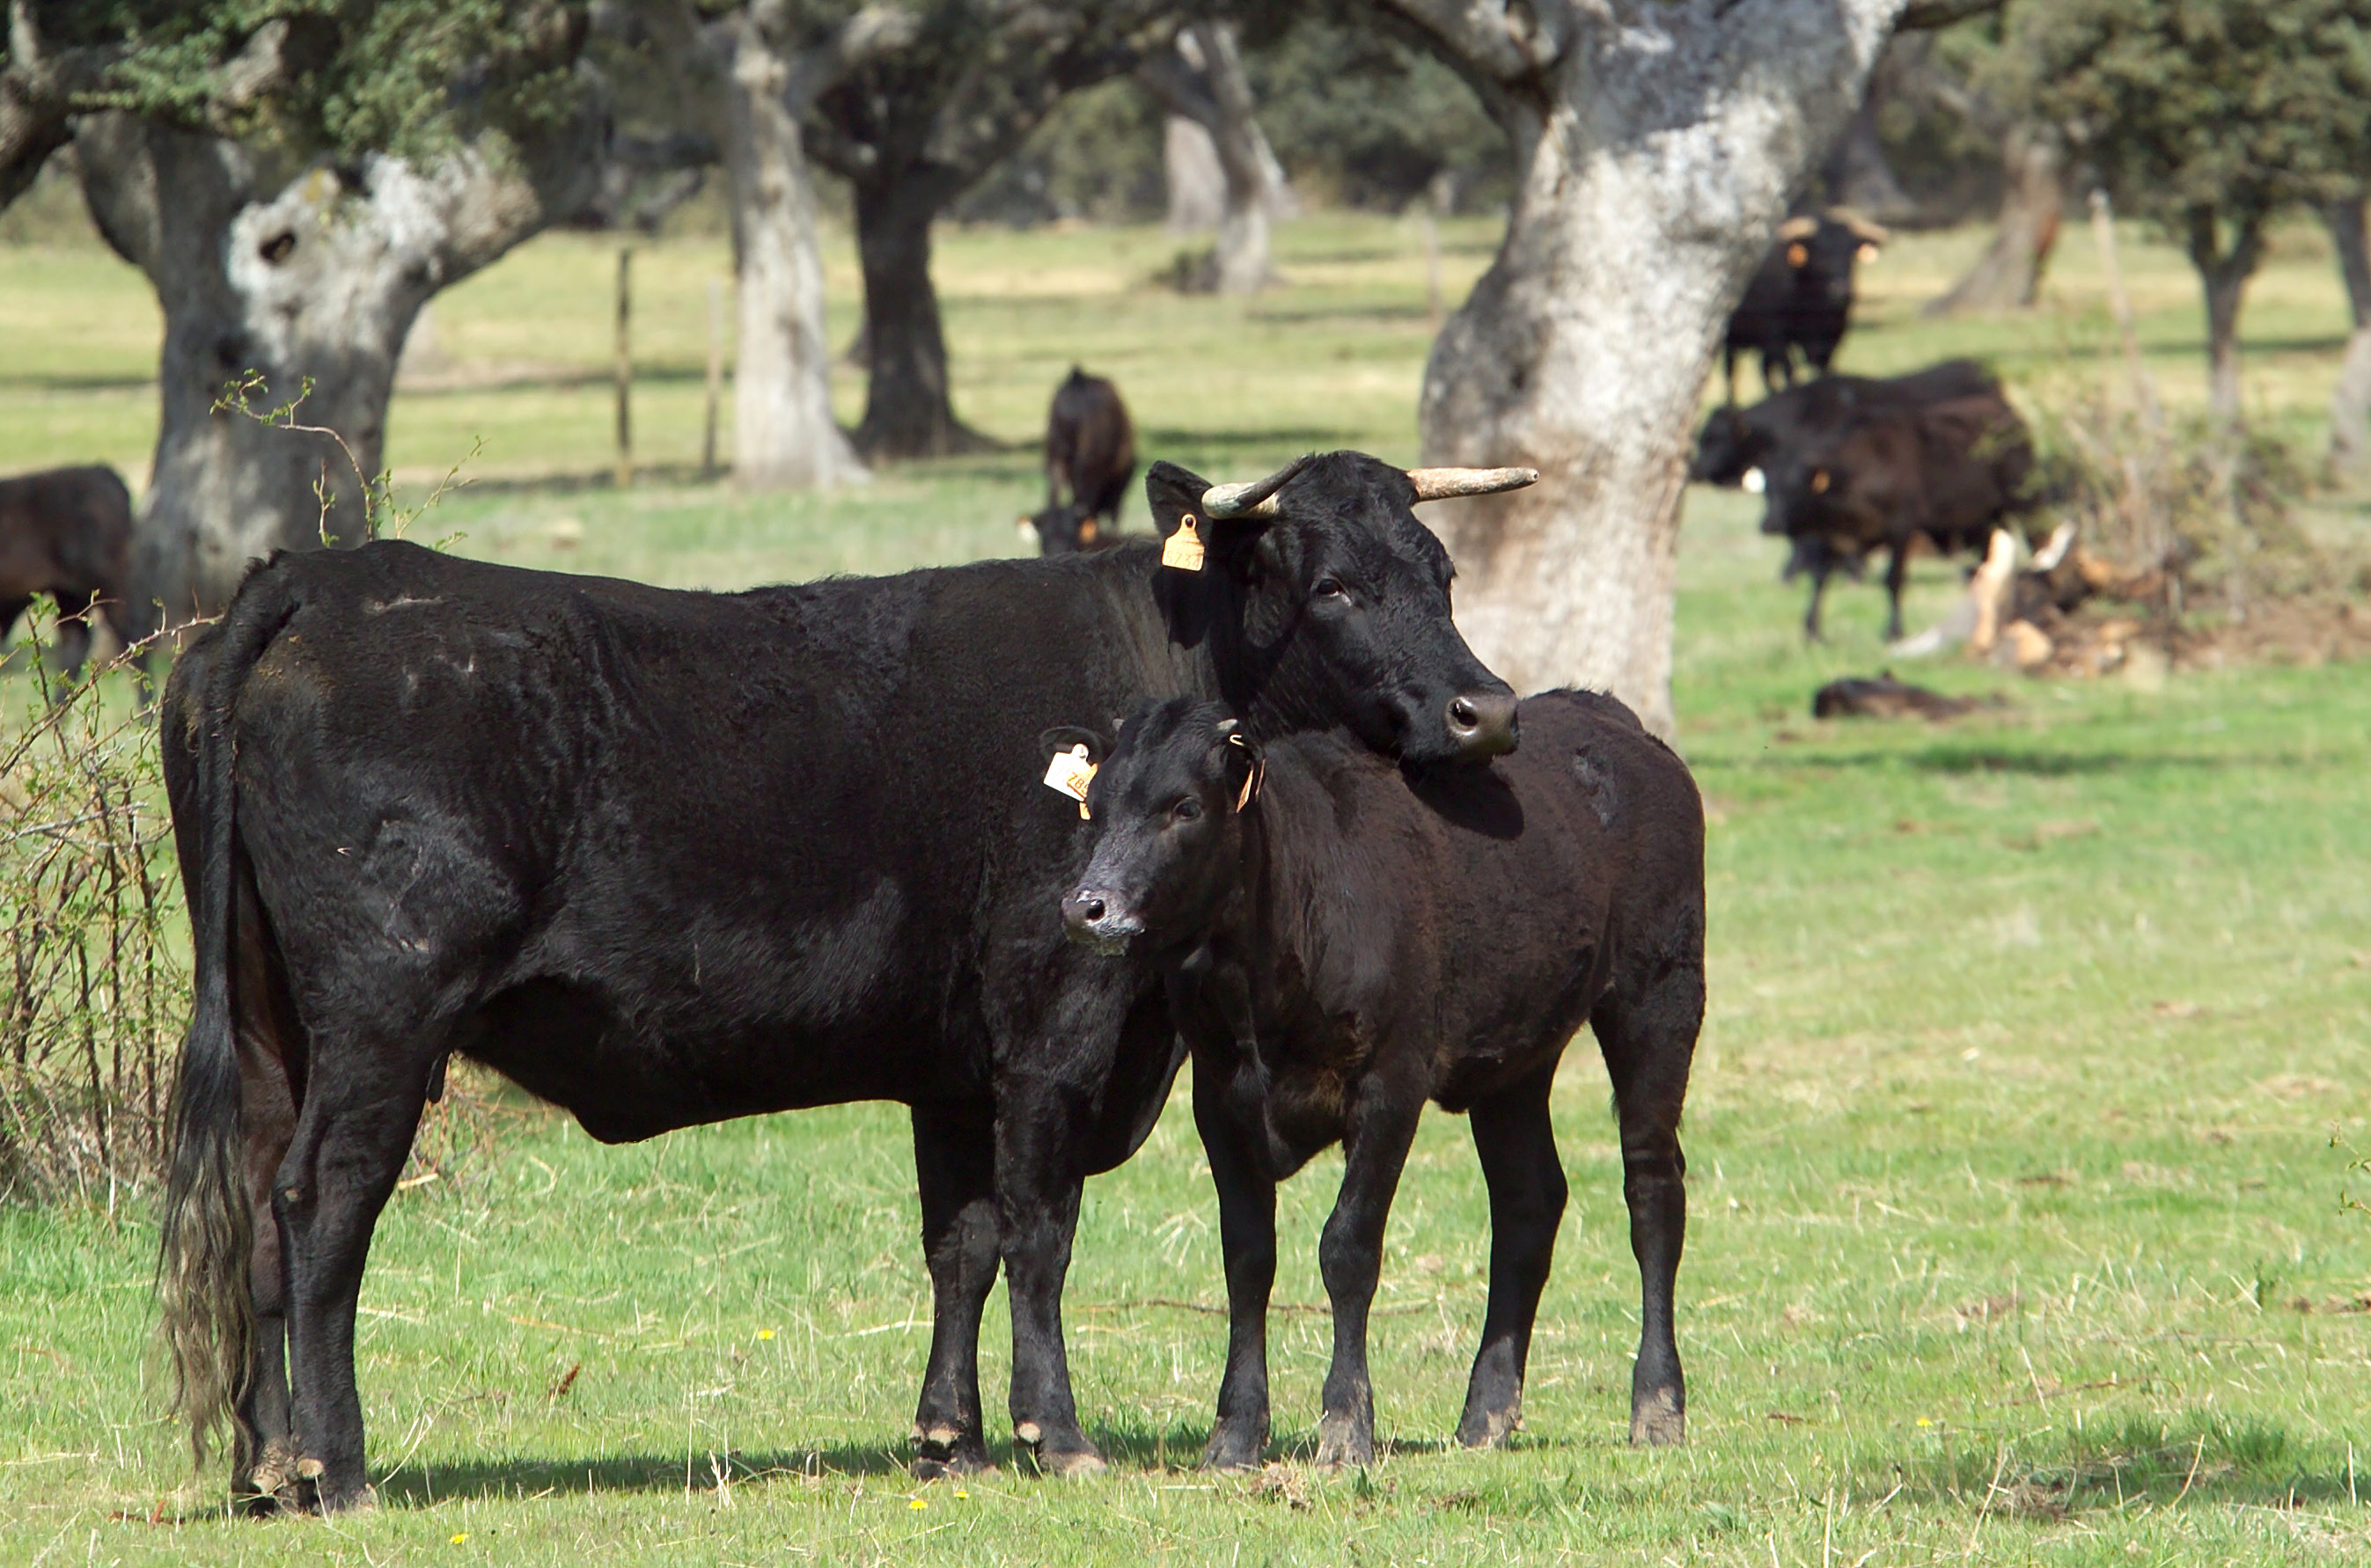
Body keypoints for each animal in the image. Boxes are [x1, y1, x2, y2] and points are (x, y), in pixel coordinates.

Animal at [154, 450, 1535, 1513]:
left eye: (1443, 571)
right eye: (1336, 585)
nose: (1487, 711)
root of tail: (321, 577)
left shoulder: (954, 1067)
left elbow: (962, 1242)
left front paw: (950, 1439)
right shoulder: (1056, 1023)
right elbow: (1040, 1232)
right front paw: (1056, 1434)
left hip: (273, 1022)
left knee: (259, 1201)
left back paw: (264, 1466)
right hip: (384, 1017)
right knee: (321, 1202)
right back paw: (336, 1468)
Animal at [1055, 693, 1705, 1471]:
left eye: (1184, 806)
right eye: (1093, 805)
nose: (1087, 907)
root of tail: (1607, 715)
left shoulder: (1391, 1086)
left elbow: (1348, 1248)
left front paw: (1346, 1427)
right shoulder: (1220, 1099)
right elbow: (1248, 1258)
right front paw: (1236, 1433)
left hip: (1659, 997)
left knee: (1652, 1192)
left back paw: (1658, 1405)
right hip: (1515, 1062)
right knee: (1528, 1203)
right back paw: (1486, 1413)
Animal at [1721, 211, 1889, 401]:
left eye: (1850, 253)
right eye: (1819, 253)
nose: (1841, 290)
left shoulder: (1832, 338)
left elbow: (1823, 371)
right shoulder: (1778, 337)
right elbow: (1790, 372)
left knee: (1764, 370)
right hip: (1731, 340)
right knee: (1731, 372)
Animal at [1758, 389, 2040, 640]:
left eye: (1795, 488)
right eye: (1768, 489)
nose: (1768, 524)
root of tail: (2007, 412)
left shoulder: (1900, 528)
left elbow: (1893, 579)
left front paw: (1893, 631)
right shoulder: (1832, 537)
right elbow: (1820, 579)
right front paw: (1812, 631)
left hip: (2024, 501)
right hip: (1982, 519)